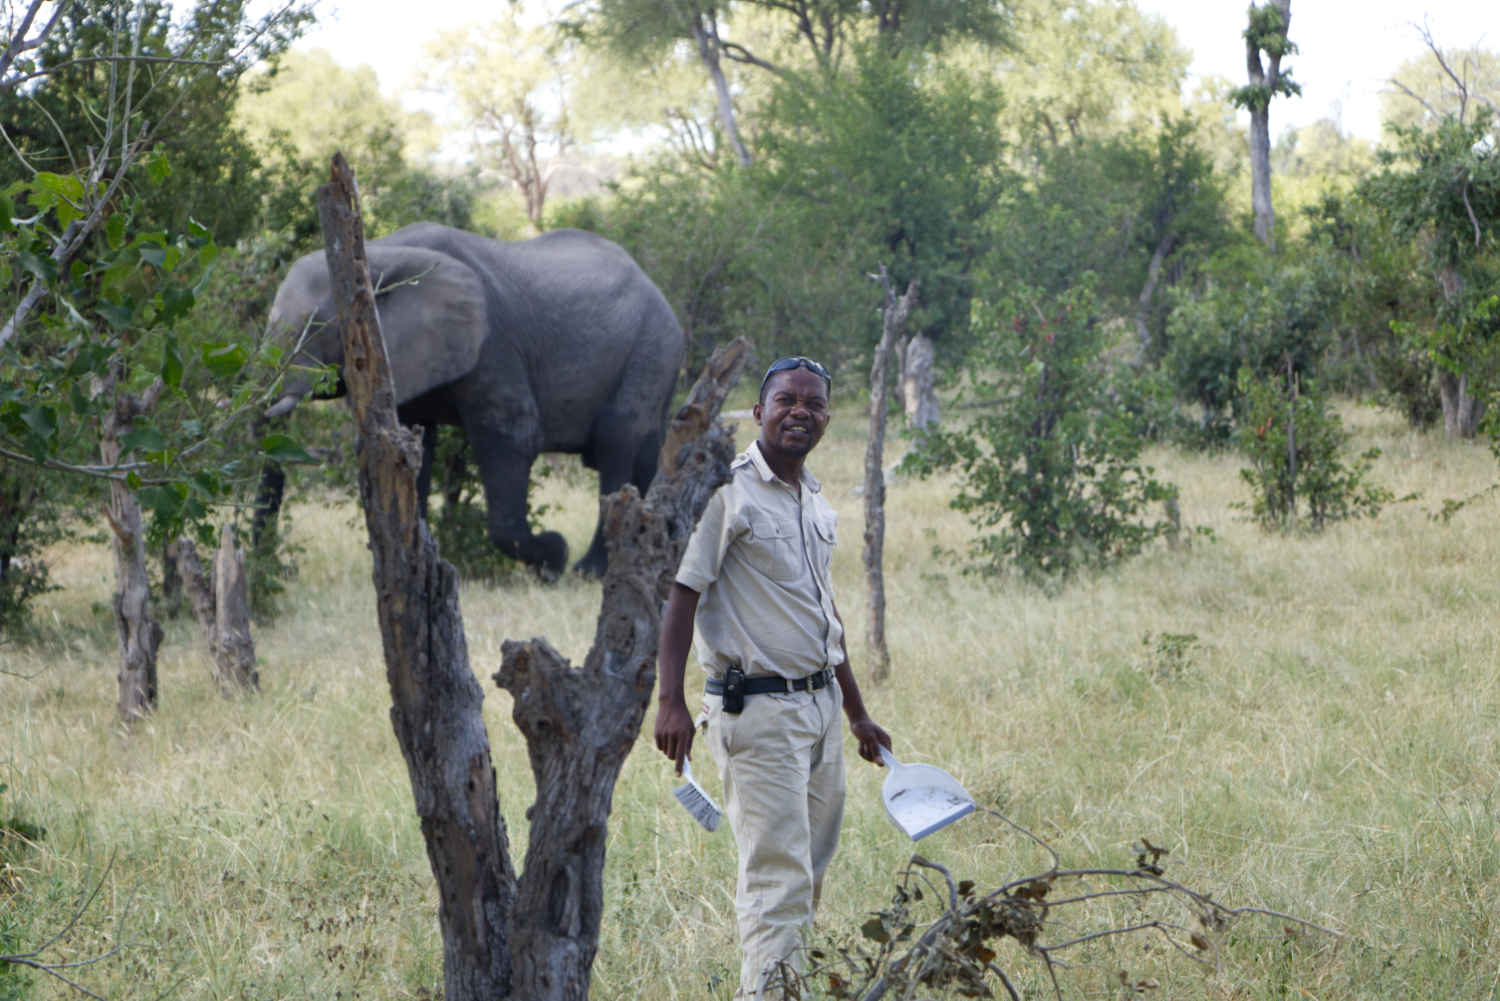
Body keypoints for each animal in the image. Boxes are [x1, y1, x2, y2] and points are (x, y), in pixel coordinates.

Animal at [260, 222, 685, 578]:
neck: (379, 254)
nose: (279, 570)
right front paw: (417, 565)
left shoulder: (493, 342)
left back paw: (590, 571)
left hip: (653, 345)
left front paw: (553, 557)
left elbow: (513, 435)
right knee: (648, 449)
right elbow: (409, 444)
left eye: (316, 327)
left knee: (616, 441)